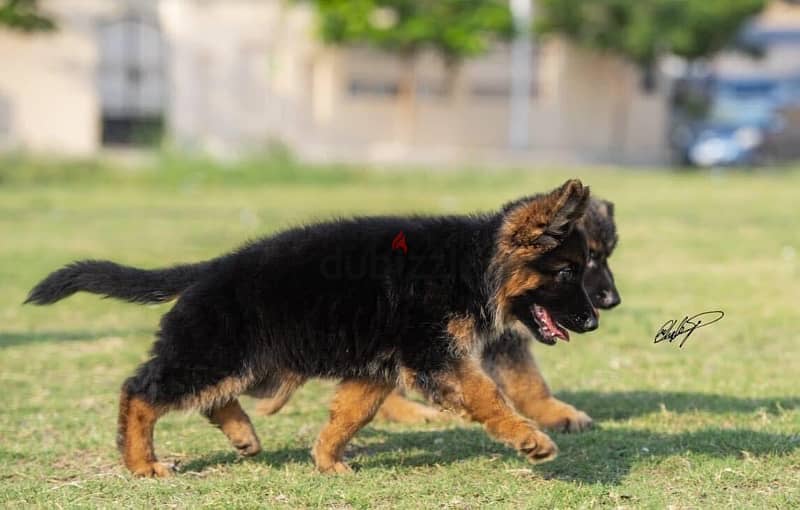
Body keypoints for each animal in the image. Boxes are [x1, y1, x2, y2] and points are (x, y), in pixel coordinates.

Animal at [25, 179, 596, 478]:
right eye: (568, 272)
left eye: (584, 268)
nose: (593, 320)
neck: (473, 264)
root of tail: (211, 268)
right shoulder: (438, 359)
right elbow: (490, 397)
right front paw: (529, 439)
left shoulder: (377, 370)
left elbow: (349, 415)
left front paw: (326, 460)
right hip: (217, 354)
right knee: (140, 391)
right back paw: (142, 463)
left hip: (249, 364)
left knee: (208, 399)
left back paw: (242, 435)